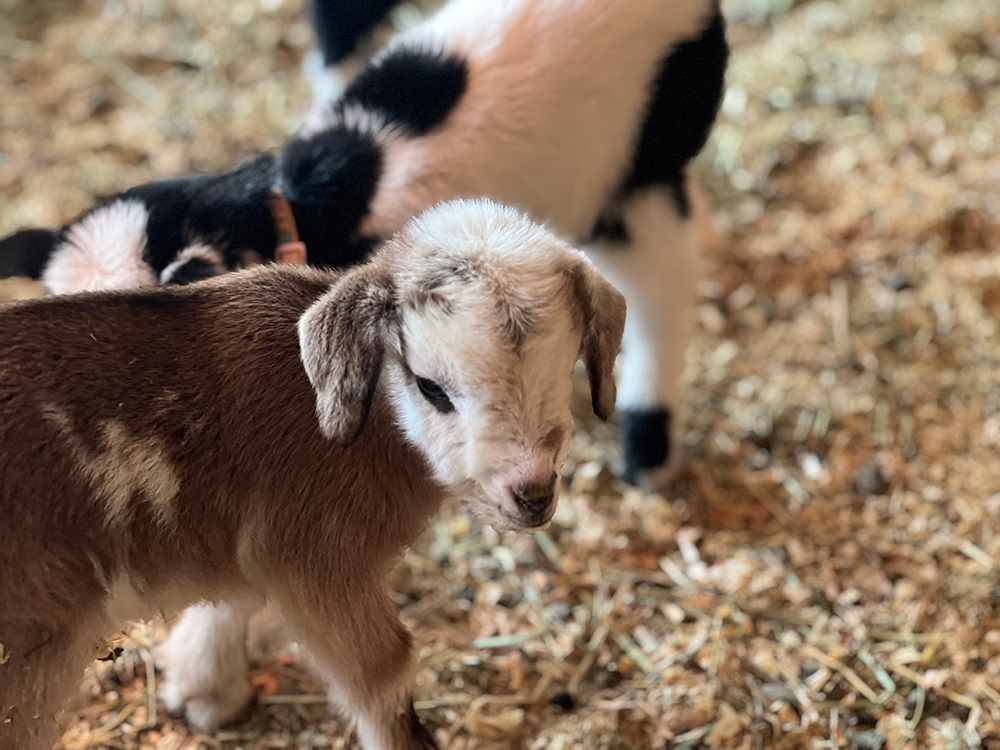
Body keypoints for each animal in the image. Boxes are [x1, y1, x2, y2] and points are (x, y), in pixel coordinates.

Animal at [0, 200, 624, 750]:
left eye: (564, 368)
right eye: (430, 387)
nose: (533, 494)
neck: (367, 424)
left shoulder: (262, 539)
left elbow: (236, 597)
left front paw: (201, 691)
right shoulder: (323, 562)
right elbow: (385, 676)